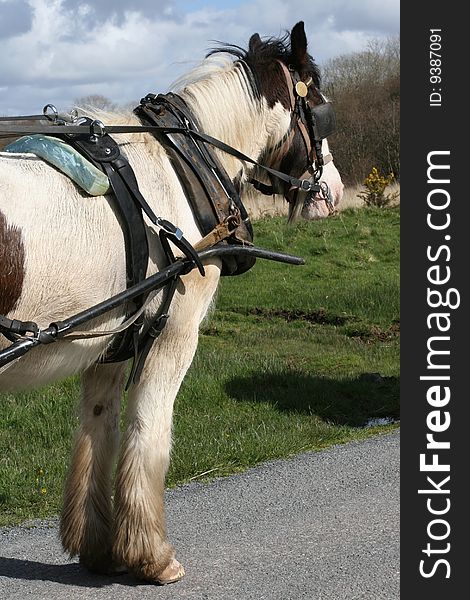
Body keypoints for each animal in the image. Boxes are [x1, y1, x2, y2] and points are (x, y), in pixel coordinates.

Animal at [0, 23, 342, 584]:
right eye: (319, 107)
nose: (333, 188)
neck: (177, 165)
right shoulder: (174, 333)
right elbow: (150, 430)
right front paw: (152, 555)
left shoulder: (112, 340)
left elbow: (98, 428)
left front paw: (98, 547)